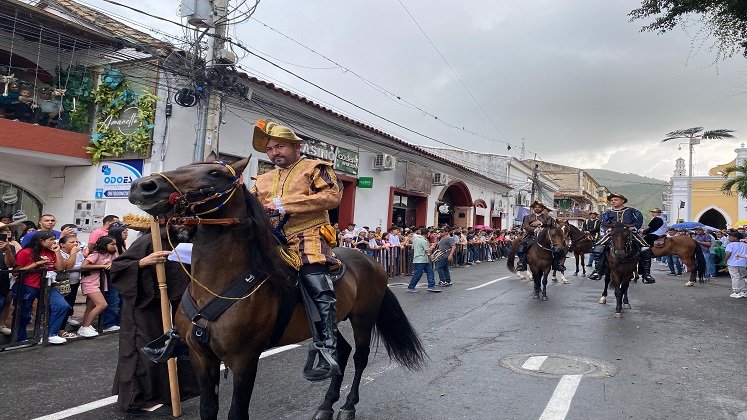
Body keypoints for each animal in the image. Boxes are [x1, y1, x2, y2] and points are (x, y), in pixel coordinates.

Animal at [129, 158, 426, 420]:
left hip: (364, 318)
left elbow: (237, 412)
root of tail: (371, 262)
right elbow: (208, 409)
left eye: (215, 173)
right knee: (339, 352)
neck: (215, 286)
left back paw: (347, 406)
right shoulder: (201, 356)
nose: (144, 187)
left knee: (360, 358)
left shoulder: (244, 359)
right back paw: (325, 405)